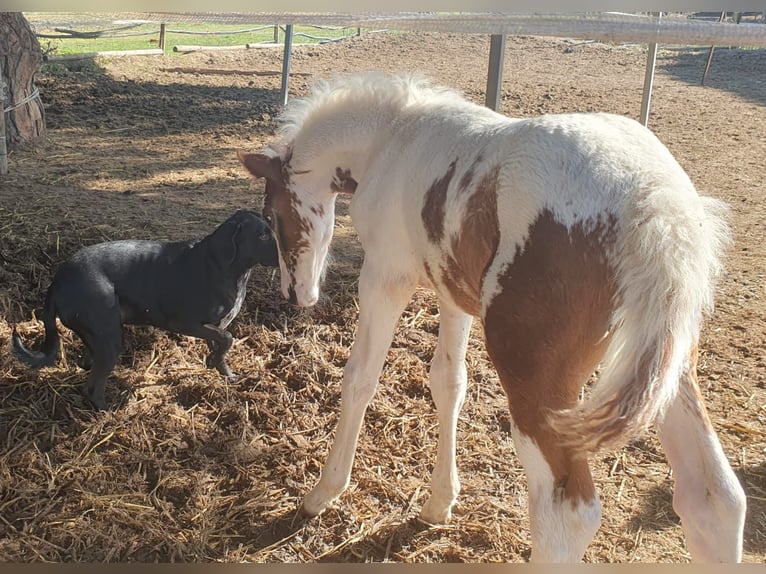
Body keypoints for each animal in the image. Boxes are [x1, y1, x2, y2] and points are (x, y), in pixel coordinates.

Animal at [11, 209, 280, 412]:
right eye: (262, 236)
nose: (287, 253)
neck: (222, 265)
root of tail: (57, 281)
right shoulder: (186, 323)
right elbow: (227, 338)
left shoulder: (216, 324)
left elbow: (220, 345)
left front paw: (223, 372)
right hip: (110, 339)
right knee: (92, 387)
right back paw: (110, 412)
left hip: (96, 335)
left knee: (88, 364)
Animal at [237, 71, 748, 564]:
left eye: (272, 215)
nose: (295, 294)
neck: (392, 137)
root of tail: (655, 203)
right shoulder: (452, 293)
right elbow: (449, 382)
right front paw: (438, 504)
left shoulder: (385, 277)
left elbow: (360, 378)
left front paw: (323, 493)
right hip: (668, 367)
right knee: (715, 498)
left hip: (535, 380)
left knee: (567, 516)